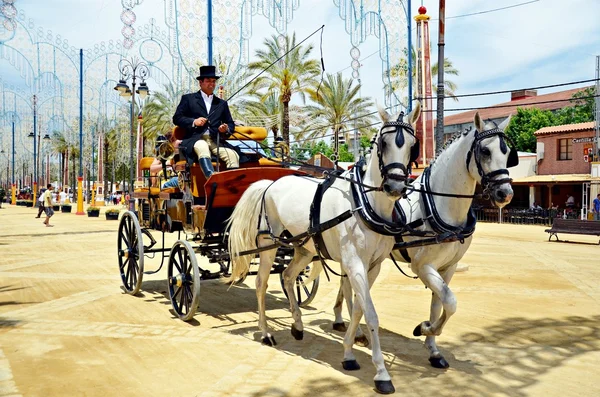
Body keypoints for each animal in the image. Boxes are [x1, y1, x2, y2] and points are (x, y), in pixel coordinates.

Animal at [229, 103, 422, 392]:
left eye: (412, 145)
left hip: (303, 248)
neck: (365, 204)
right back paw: (265, 333)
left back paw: (298, 326)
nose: (395, 186)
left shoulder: (373, 266)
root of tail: (270, 184)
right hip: (268, 245)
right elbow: (371, 314)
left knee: (288, 276)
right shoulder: (355, 264)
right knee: (261, 283)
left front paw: (349, 352)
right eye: (383, 143)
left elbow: (358, 309)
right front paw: (381, 373)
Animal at [328, 111, 516, 368]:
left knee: (346, 285)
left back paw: (340, 319)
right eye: (485, 151)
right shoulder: (423, 266)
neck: (441, 204)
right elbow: (450, 302)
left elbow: (439, 304)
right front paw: (424, 328)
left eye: (507, 153)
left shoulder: (449, 267)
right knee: (349, 288)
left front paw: (433, 349)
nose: (505, 193)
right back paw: (355, 332)